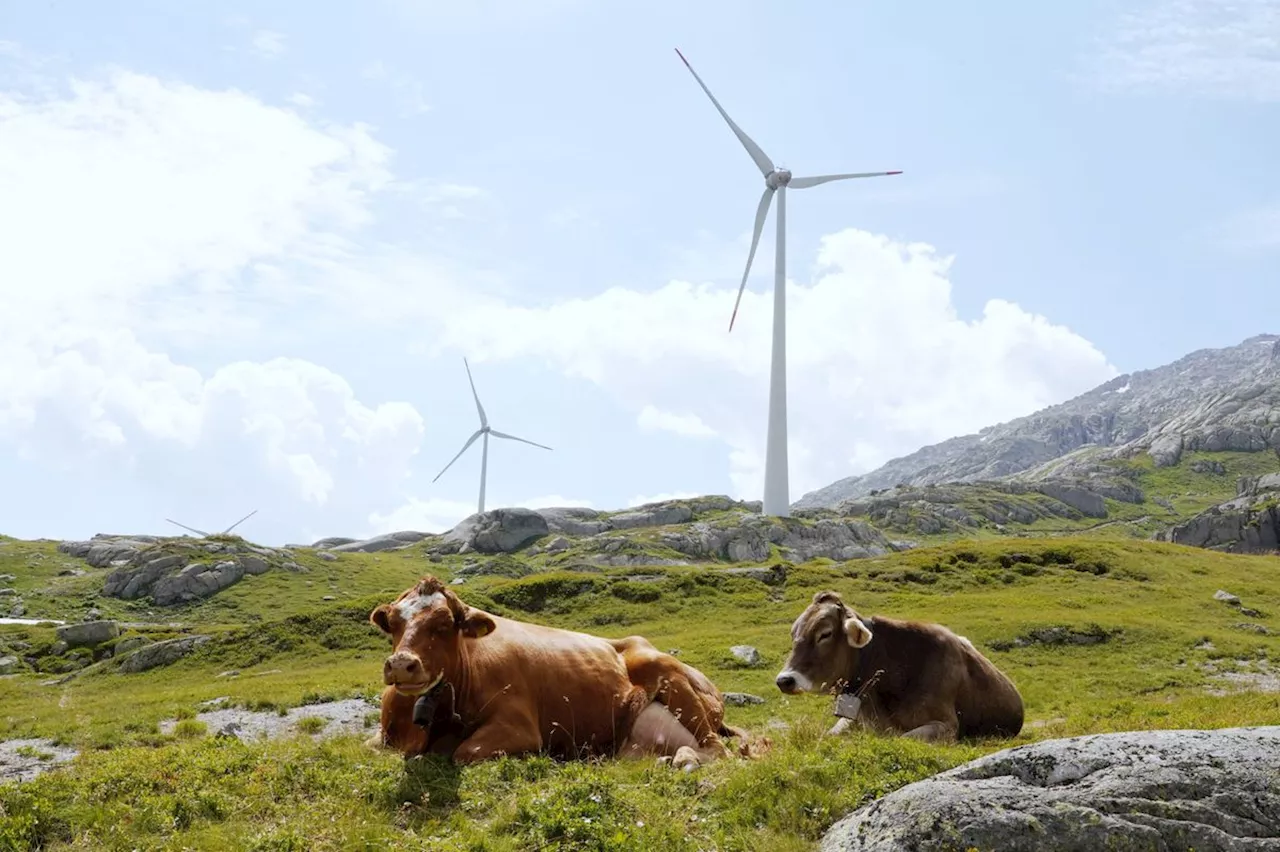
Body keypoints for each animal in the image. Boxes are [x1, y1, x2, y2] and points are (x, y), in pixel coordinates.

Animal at [368, 573, 757, 767]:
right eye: (393, 623)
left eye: (446, 624)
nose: (401, 664)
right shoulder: (382, 737)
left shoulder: (519, 727)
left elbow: (464, 752)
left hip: (671, 678)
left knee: (715, 750)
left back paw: (685, 760)